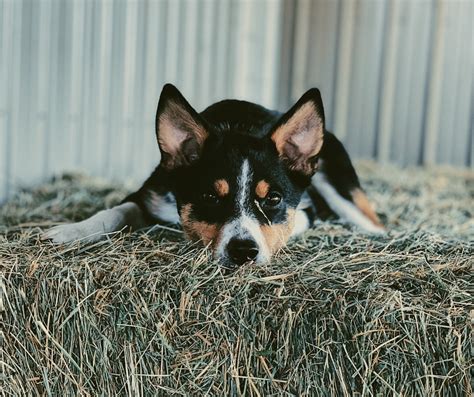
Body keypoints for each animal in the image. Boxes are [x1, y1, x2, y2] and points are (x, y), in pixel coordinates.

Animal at [43, 83, 386, 266]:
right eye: (209, 196)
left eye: (273, 199)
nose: (244, 252)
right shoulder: (149, 194)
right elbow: (115, 211)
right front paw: (70, 231)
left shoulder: (305, 212)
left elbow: (286, 226)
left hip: (339, 184)